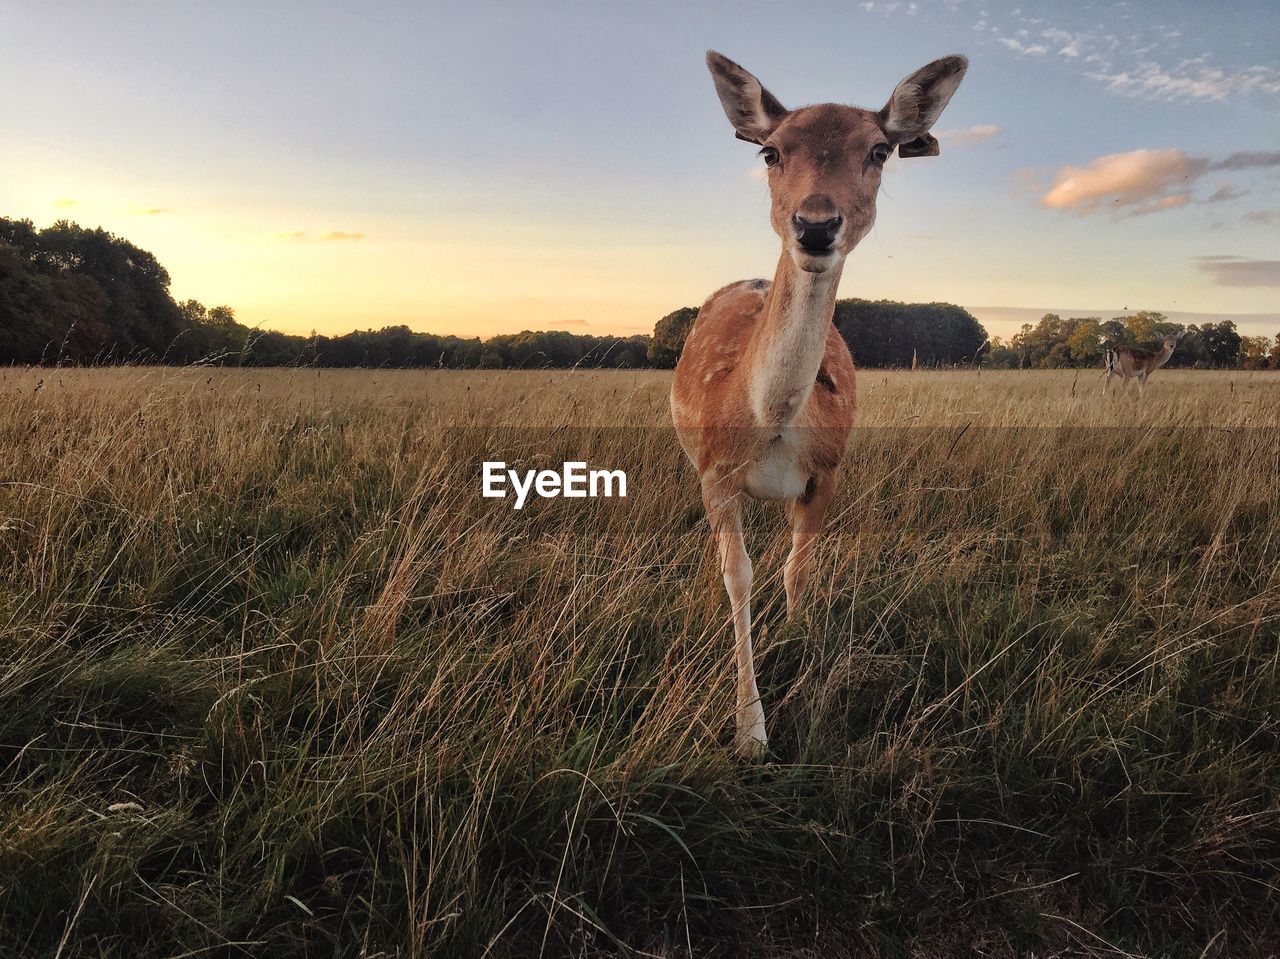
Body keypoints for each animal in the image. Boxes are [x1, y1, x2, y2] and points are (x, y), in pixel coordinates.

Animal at [675, 50, 962, 757]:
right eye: (771, 151)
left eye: (880, 150)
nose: (814, 225)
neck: (772, 421)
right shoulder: (714, 476)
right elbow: (739, 576)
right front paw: (751, 730)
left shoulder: (827, 471)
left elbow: (797, 569)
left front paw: (801, 643)